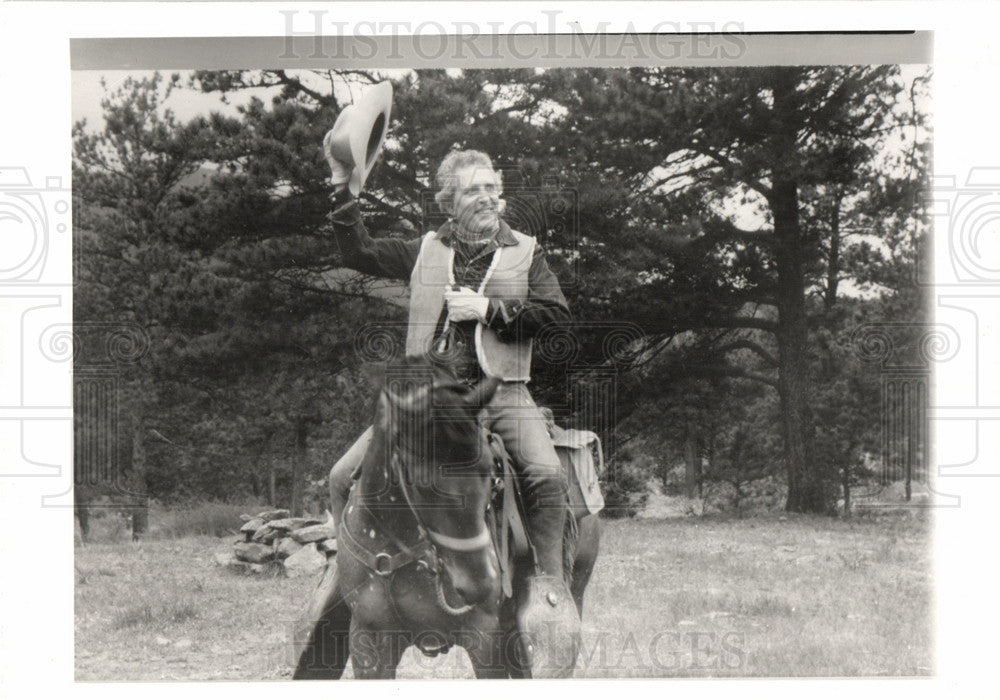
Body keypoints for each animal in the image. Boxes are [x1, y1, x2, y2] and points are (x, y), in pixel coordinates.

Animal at [292, 358, 596, 676]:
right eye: (422, 484)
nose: (482, 583)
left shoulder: (485, 639)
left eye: (490, 470)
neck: (400, 549)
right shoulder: (369, 640)